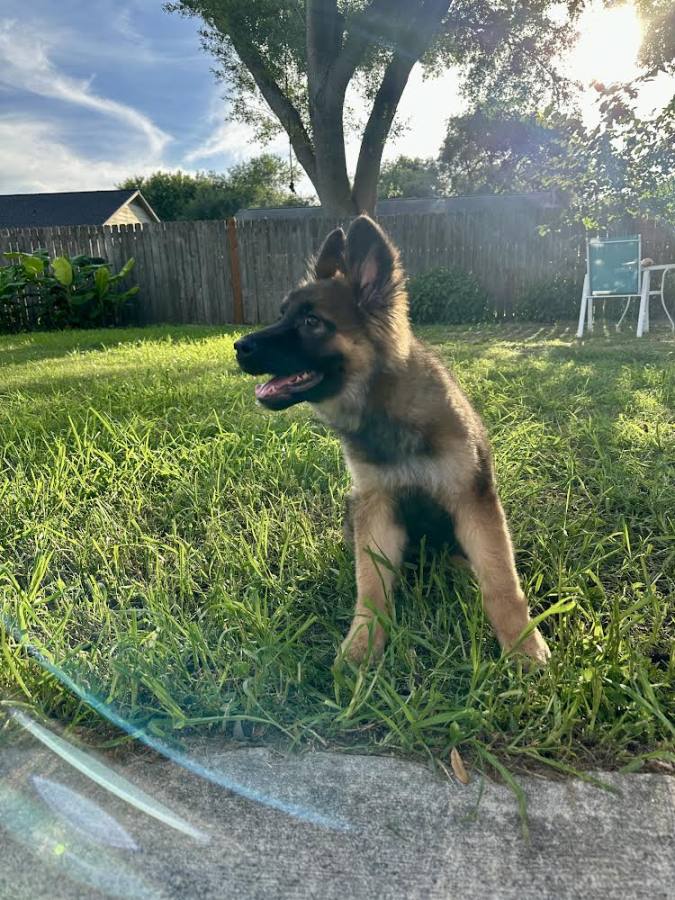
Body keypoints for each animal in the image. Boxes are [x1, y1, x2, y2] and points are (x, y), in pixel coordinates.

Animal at [234, 215, 550, 665]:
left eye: (312, 322)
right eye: (282, 315)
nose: (238, 347)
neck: (384, 407)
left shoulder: (471, 499)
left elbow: (501, 581)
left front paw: (522, 646)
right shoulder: (377, 504)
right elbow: (370, 585)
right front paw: (362, 644)